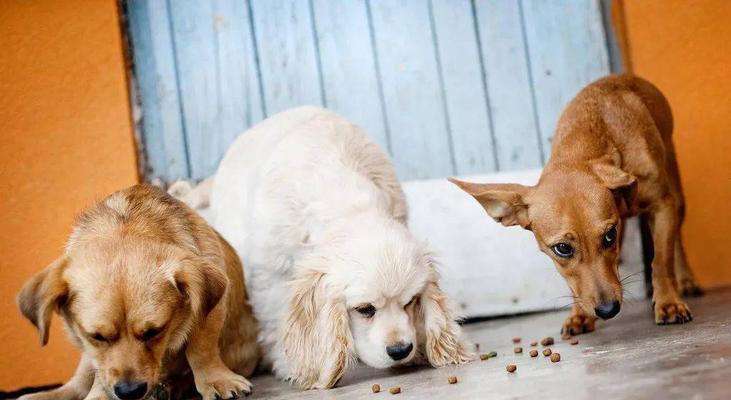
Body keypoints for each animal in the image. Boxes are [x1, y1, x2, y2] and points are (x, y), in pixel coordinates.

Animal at [15, 185, 262, 400]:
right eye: (97, 336)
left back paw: (173, 386)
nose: (129, 392)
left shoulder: (209, 312)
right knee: (78, 383)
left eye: (155, 332)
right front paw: (98, 395)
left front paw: (216, 380)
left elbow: (201, 348)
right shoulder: (92, 351)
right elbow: (100, 372)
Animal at [183, 106, 472, 388]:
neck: (347, 203)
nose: (401, 350)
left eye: (411, 301)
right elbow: (276, 318)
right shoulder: (271, 274)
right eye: (365, 309)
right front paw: (293, 365)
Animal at [454, 74, 700, 334]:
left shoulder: (661, 207)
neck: (585, 145)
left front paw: (669, 303)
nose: (608, 310)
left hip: (677, 200)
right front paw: (579, 314)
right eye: (562, 248)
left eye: (609, 236)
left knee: (676, 243)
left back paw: (686, 281)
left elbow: (661, 261)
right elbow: (574, 282)